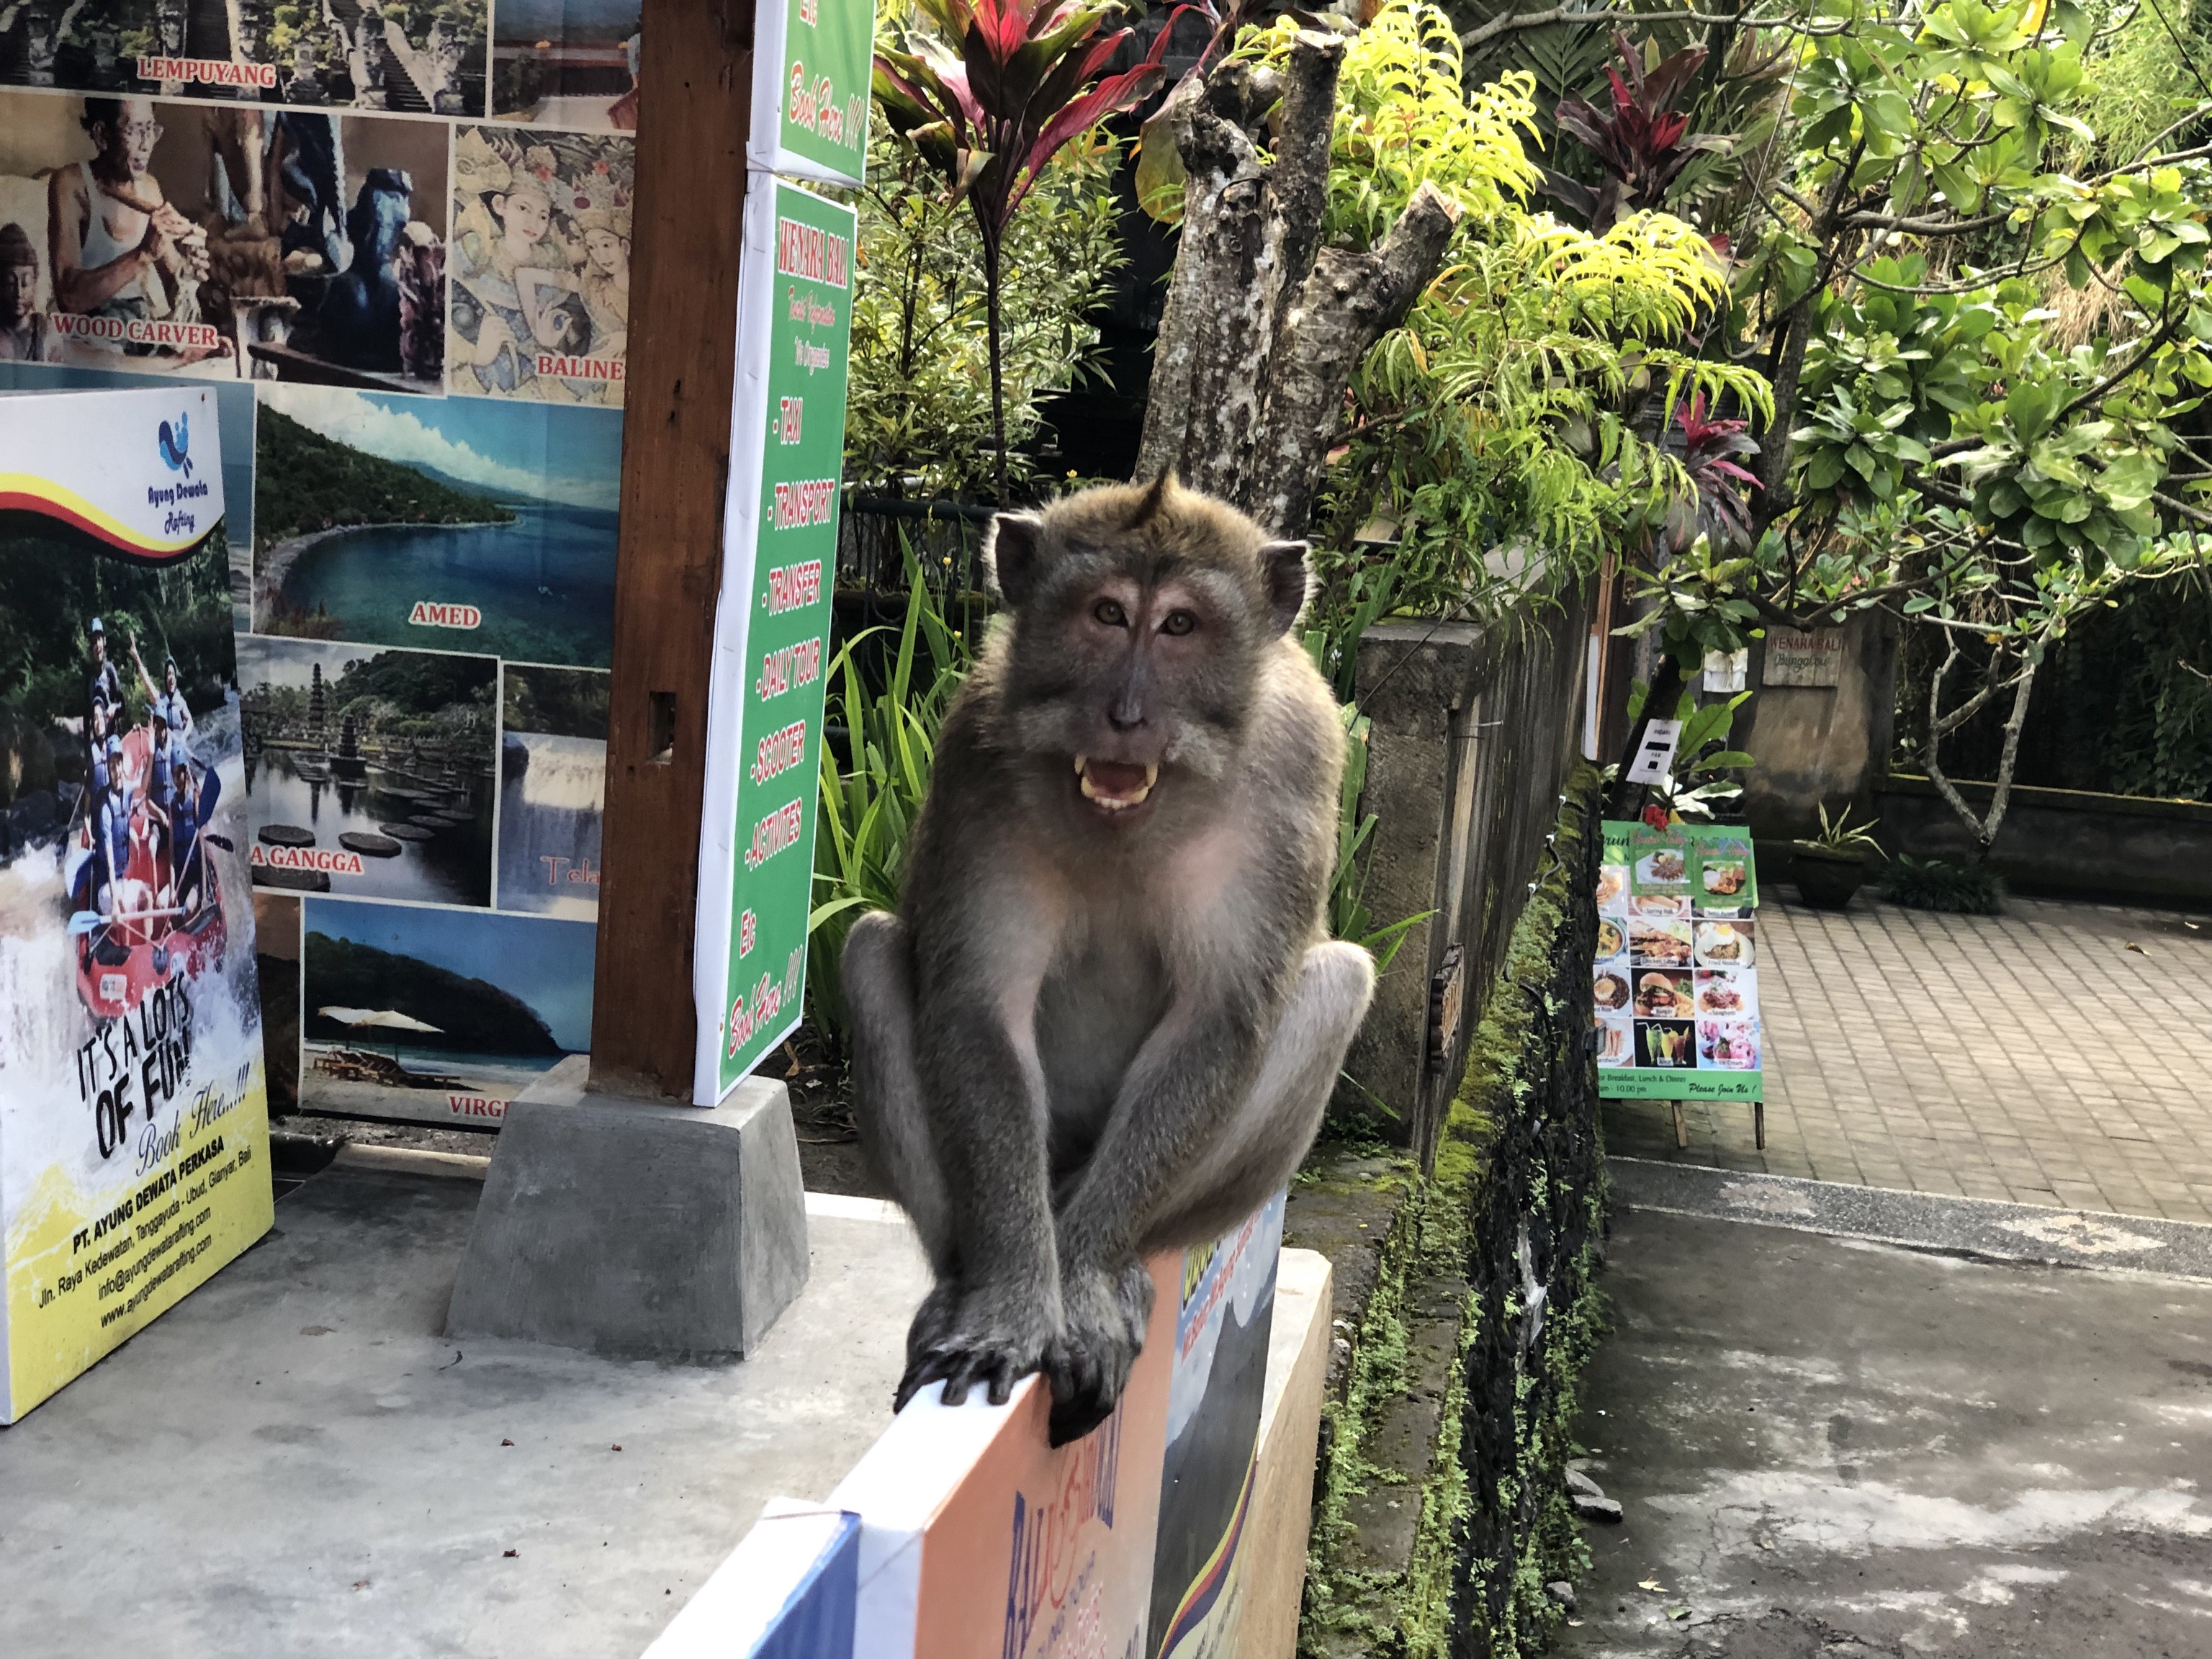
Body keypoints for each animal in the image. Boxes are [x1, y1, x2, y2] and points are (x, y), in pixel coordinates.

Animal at [841, 474, 1376, 1445]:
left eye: (1181, 626)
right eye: (1106, 614)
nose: (1127, 715)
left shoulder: (1297, 765)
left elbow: (1220, 1019)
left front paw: (1084, 1286)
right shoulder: (977, 750)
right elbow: (978, 1007)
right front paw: (1013, 1304)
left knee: (1334, 986)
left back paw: (1121, 1263)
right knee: (871, 952)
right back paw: (960, 1285)